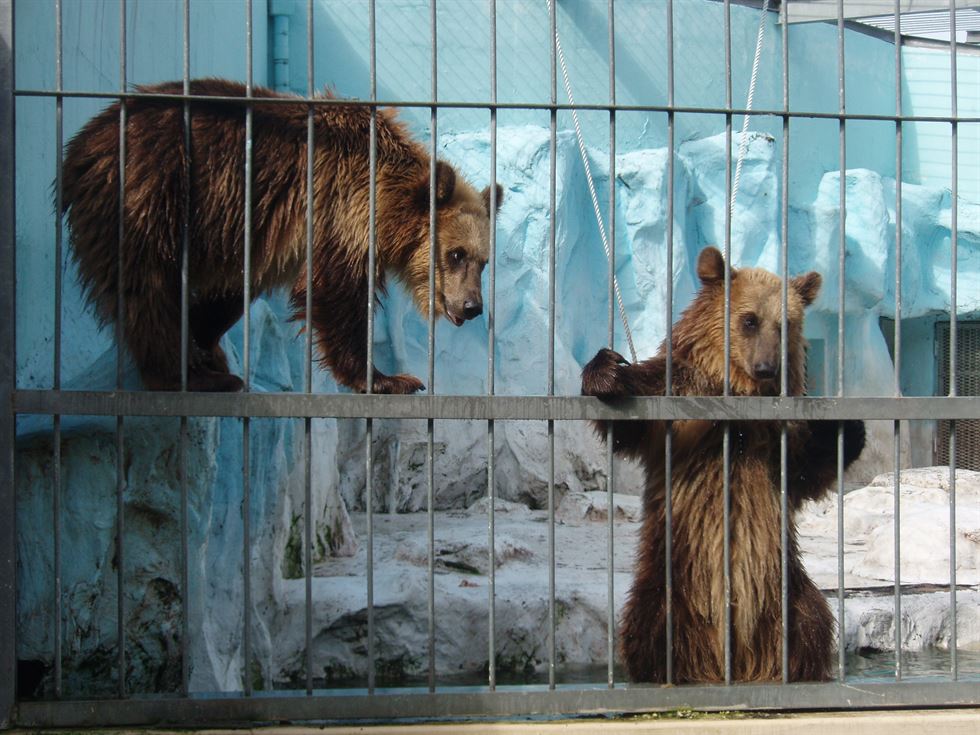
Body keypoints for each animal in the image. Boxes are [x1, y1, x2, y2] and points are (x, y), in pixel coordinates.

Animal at [63, 77, 506, 394]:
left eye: (484, 262)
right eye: (455, 254)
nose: (472, 306)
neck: (386, 200)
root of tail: (84, 141)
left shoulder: (263, 237)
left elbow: (232, 292)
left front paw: (204, 340)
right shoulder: (338, 207)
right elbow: (336, 293)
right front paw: (388, 379)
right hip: (151, 194)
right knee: (147, 287)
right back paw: (185, 375)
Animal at [580, 247, 864, 684]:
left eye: (785, 324)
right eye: (749, 320)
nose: (767, 367)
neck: (740, 394)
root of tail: (731, 660)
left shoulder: (781, 438)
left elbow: (808, 468)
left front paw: (846, 425)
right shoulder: (680, 399)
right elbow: (634, 415)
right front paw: (608, 371)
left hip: (787, 591)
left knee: (812, 624)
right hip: (670, 583)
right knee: (649, 629)